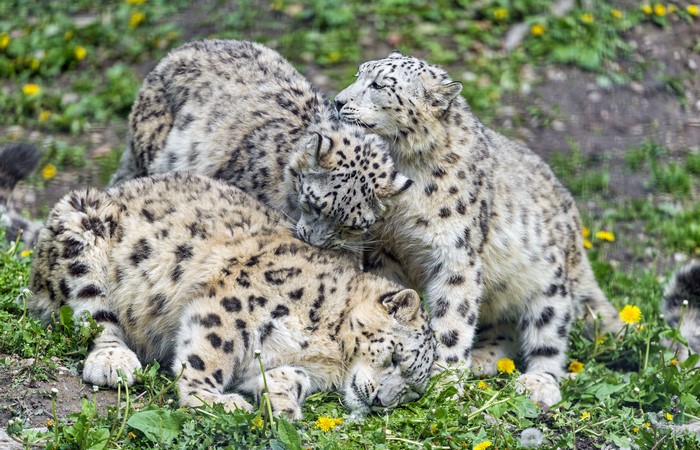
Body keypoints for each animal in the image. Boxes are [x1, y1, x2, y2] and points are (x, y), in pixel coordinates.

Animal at [28, 172, 435, 419]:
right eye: (395, 357)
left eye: (412, 391)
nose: (380, 400)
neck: (330, 355)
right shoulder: (231, 305)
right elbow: (208, 353)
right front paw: (212, 400)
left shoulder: (289, 363)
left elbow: (288, 377)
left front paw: (284, 406)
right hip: (81, 226)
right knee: (91, 314)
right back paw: (114, 362)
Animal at [334, 51, 623, 406]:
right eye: (358, 74)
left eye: (379, 85)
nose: (338, 101)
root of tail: (575, 231)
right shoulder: (385, 247)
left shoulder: (455, 255)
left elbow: (453, 319)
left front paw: (444, 381)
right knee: (503, 325)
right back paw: (483, 360)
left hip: (549, 286)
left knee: (549, 336)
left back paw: (537, 382)